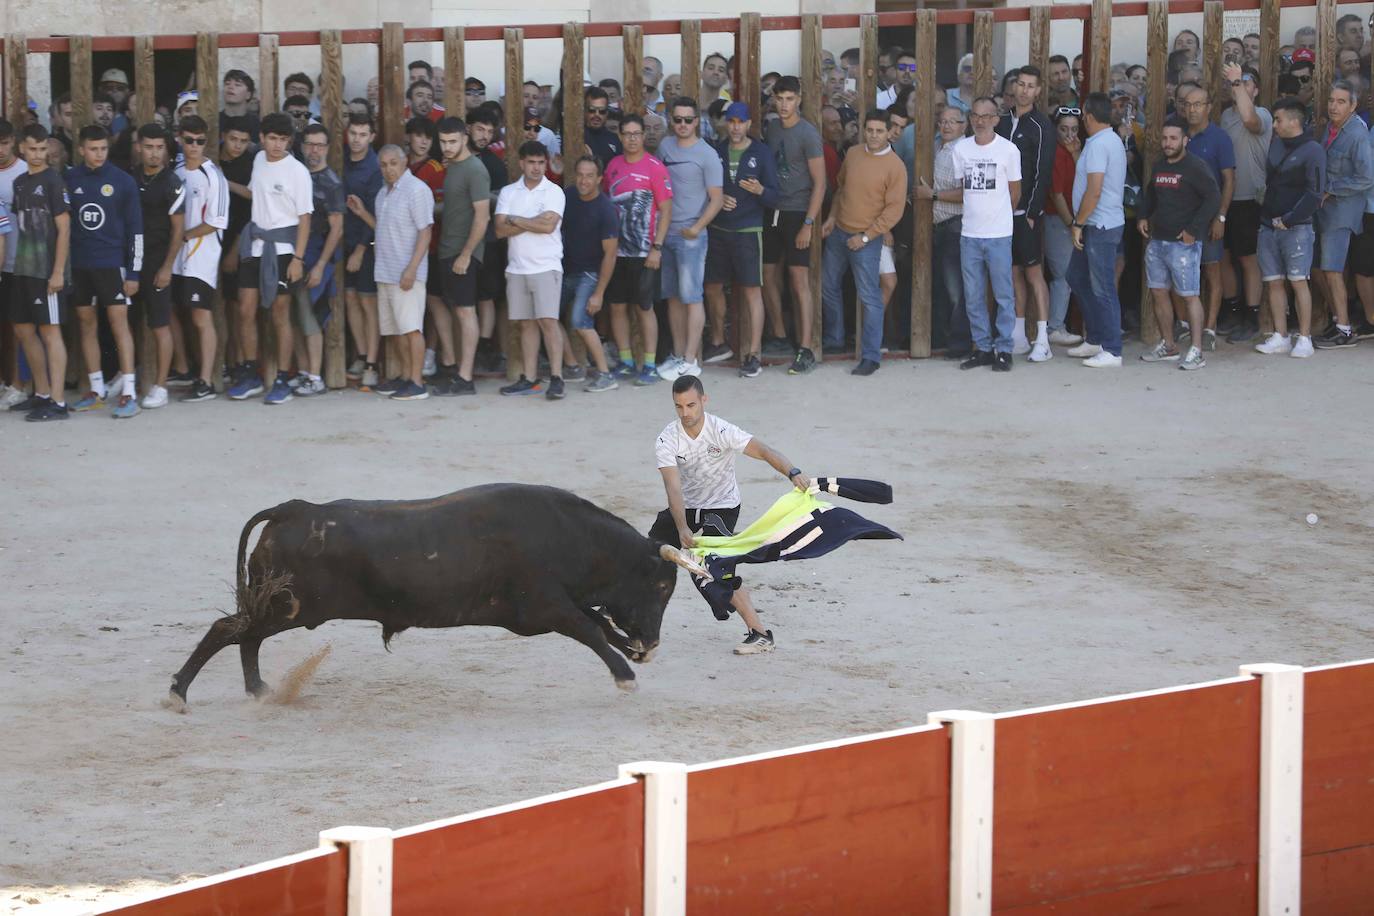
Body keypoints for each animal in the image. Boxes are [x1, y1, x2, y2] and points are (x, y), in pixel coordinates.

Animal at [169, 483, 708, 708]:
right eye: (662, 586)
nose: (651, 644)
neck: (571, 535)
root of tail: (292, 509)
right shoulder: (545, 607)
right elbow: (593, 631)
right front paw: (625, 678)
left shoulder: (550, 609)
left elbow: (601, 627)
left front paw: (632, 659)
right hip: (287, 606)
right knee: (230, 629)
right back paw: (179, 693)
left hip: (279, 605)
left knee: (245, 636)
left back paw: (258, 689)